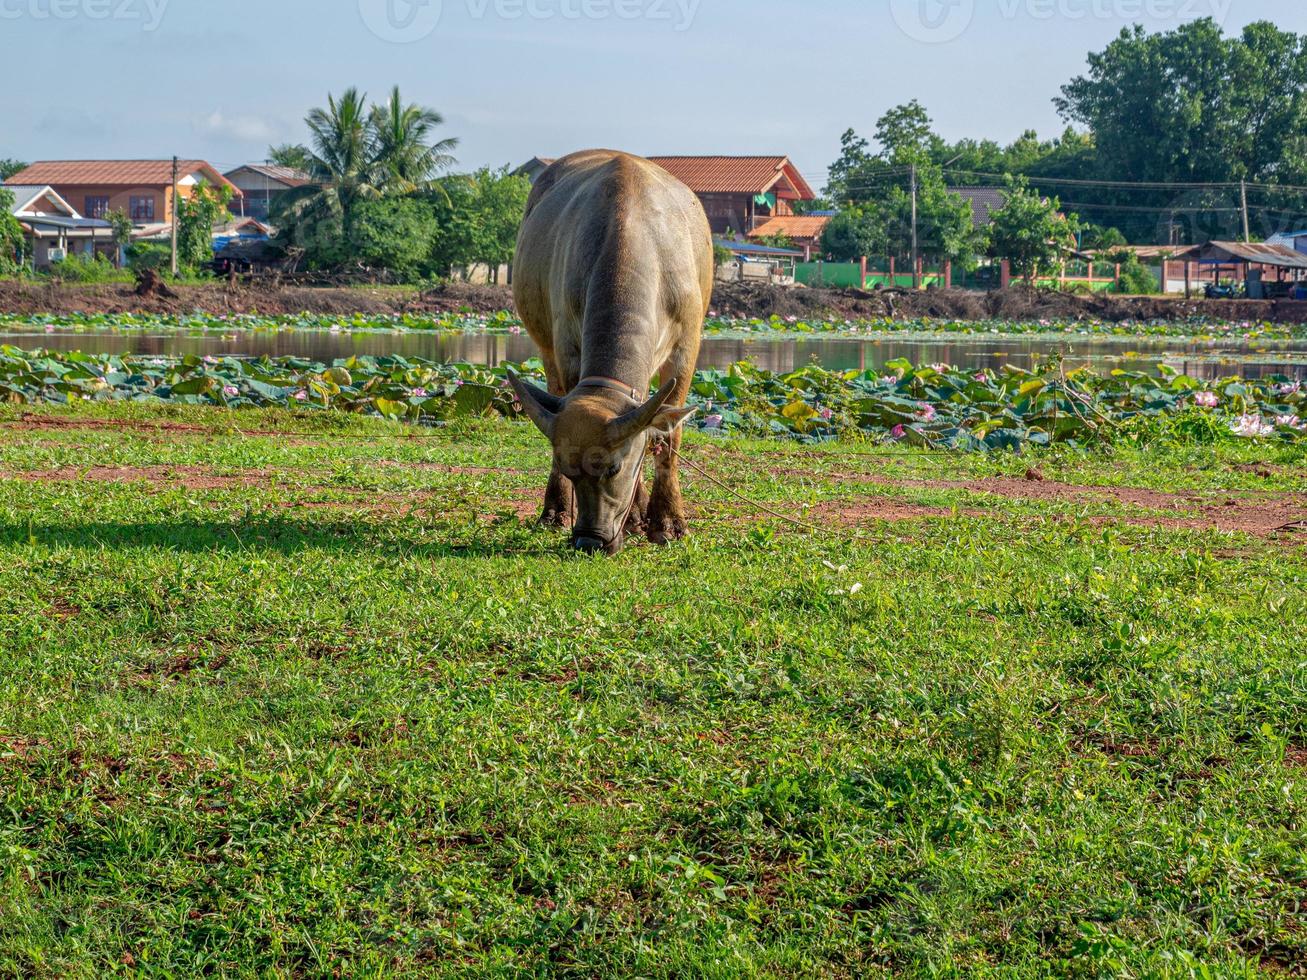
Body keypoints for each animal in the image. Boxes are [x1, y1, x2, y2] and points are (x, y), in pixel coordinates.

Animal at [509, 150, 716, 556]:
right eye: (569, 467)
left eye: (614, 468)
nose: (590, 540)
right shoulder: (567, 350)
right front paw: (636, 517)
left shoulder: (685, 347)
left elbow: (666, 437)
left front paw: (667, 522)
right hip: (545, 348)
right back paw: (556, 511)